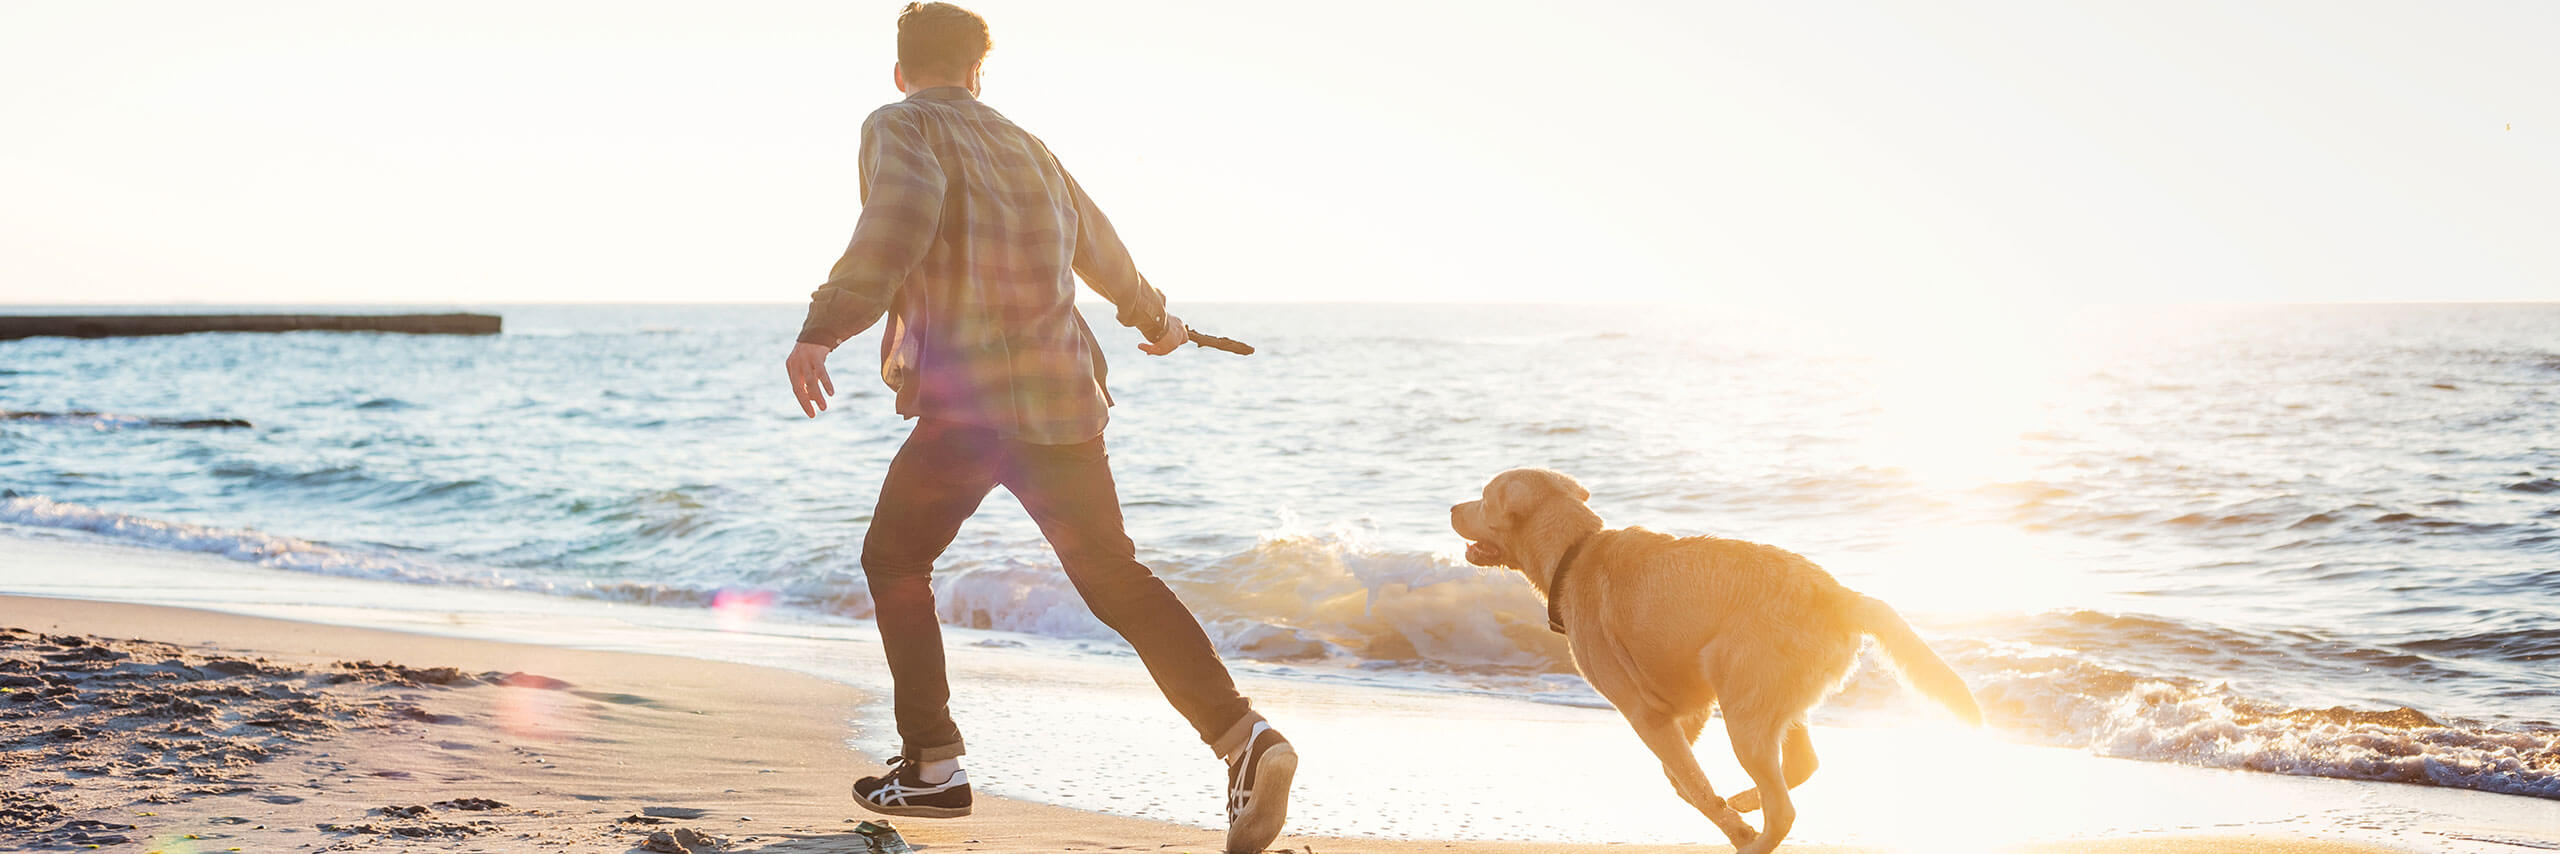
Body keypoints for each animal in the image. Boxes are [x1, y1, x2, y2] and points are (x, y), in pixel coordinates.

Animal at [1443, 470, 1976, 848]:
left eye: (1483, 499)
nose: (1450, 506)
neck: (1576, 553)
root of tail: (1843, 596)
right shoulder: (1689, 705)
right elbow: (1684, 778)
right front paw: (1729, 807)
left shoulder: (1646, 714)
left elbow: (1690, 783)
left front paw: (1732, 824)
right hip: (1765, 698)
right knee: (1802, 765)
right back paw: (1745, 799)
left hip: (1744, 705)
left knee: (1784, 807)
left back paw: (1753, 833)